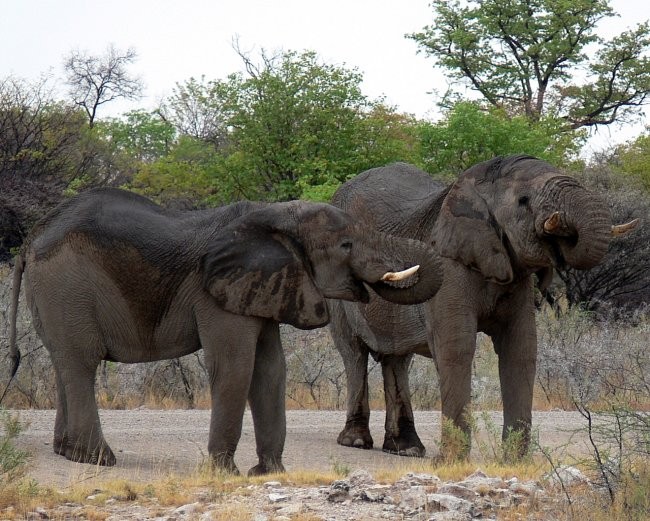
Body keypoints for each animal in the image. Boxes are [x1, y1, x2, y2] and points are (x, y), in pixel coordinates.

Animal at [7, 188, 440, 476]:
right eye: (345, 244)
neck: (275, 216)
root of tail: (32, 239)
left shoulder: (263, 286)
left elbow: (270, 370)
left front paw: (268, 474)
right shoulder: (215, 293)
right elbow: (235, 367)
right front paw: (224, 473)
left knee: (64, 362)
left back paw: (65, 452)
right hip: (67, 285)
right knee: (81, 363)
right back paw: (97, 459)